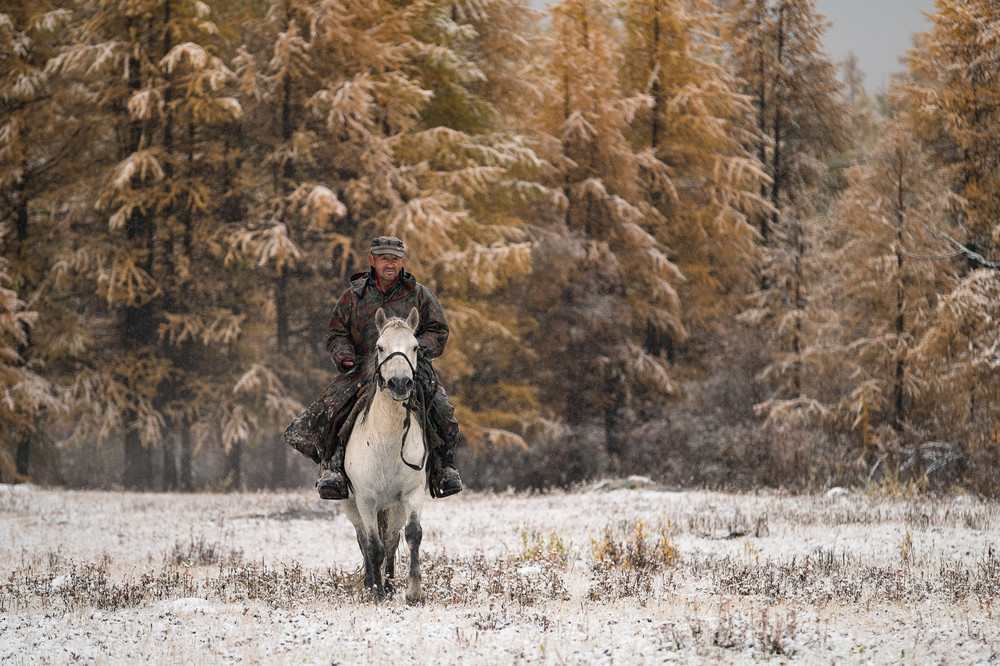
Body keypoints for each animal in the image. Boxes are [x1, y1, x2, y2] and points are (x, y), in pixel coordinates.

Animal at [344, 306, 426, 600]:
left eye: (415, 347)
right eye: (380, 347)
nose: (400, 383)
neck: (386, 443)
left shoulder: (412, 493)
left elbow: (412, 535)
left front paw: (414, 592)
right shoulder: (366, 500)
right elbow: (372, 545)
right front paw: (376, 592)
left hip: (393, 507)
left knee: (391, 541)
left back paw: (390, 584)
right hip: (351, 505)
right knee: (363, 540)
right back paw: (373, 583)